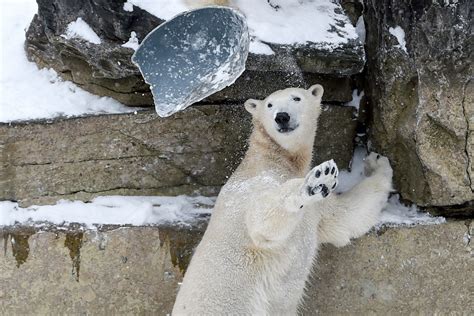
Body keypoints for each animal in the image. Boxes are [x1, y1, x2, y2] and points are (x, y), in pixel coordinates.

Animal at [172, 85, 394, 314]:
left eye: (296, 98)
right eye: (269, 105)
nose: (282, 117)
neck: (279, 158)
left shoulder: (317, 212)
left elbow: (347, 217)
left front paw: (377, 161)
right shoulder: (256, 182)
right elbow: (261, 219)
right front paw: (316, 182)